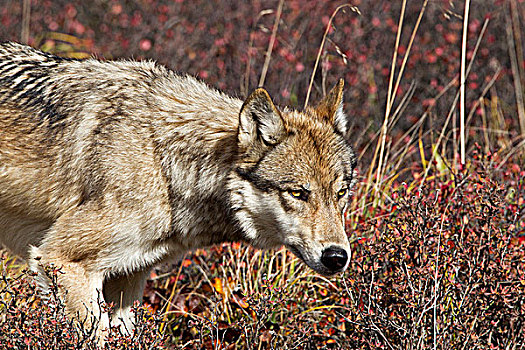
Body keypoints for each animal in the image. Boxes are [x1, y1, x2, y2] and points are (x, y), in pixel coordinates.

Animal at [0, 42, 356, 332]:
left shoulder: (129, 277)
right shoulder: (59, 260)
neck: (164, 165)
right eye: (298, 193)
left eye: (340, 194)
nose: (337, 257)